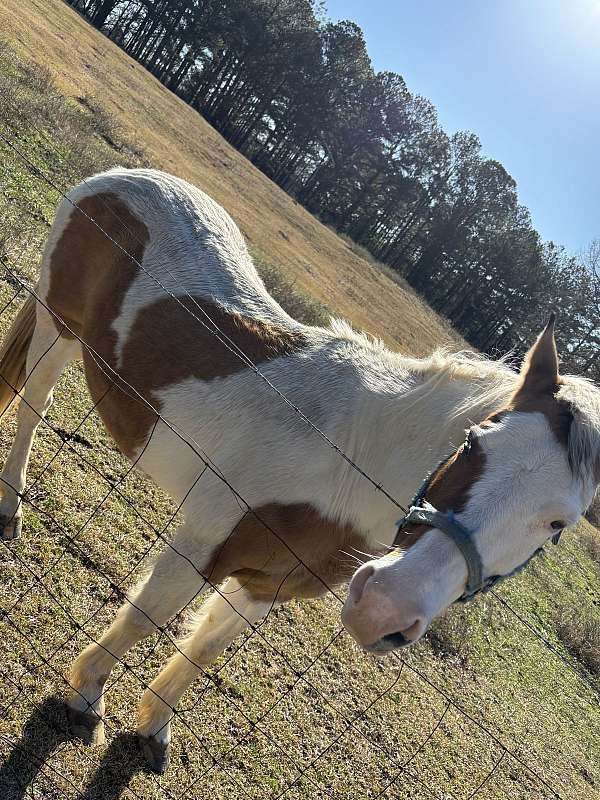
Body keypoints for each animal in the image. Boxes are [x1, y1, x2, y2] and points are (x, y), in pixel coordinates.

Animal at [1, 169, 600, 776]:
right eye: (474, 442)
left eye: (558, 526)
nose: (385, 607)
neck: (353, 453)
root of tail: (116, 179)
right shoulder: (201, 546)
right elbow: (148, 617)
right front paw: (86, 698)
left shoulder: (271, 580)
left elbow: (208, 646)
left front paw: (154, 728)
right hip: (58, 327)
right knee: (32, 407)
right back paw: (10, 508)